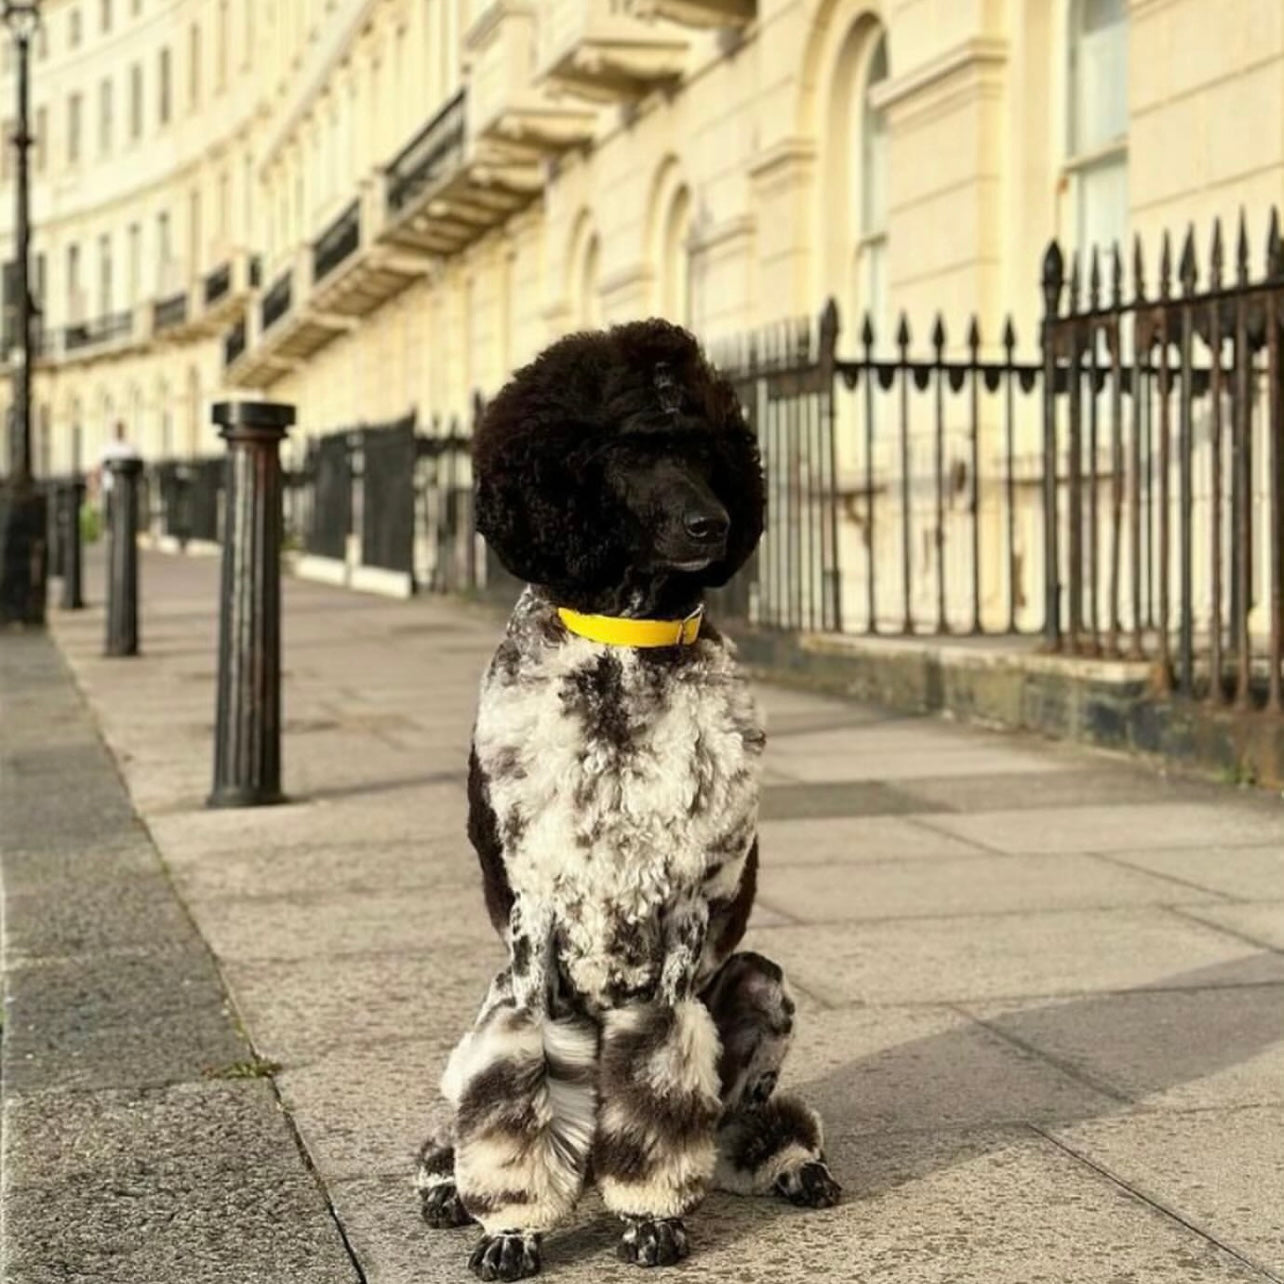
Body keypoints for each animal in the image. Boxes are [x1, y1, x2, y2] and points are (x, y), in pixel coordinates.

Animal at [416, 315, 842, 1278]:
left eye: (703, 447)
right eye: (627, 451)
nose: (711, 523)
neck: (625, 651)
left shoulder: (679, 917)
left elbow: (660, 1093)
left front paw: (651, 1219)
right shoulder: (535, 922)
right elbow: (516, 1096)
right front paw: (512, 1229)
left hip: (759, 983)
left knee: (730, 1124)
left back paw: (790, 1163)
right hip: (491, 998)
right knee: (470, 1107)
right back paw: (446, 1182)